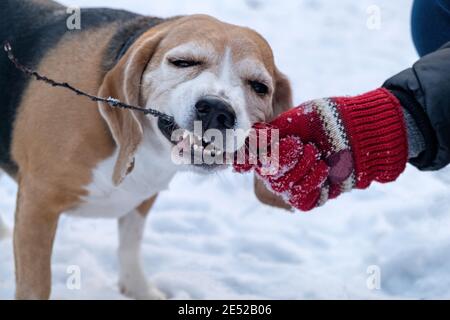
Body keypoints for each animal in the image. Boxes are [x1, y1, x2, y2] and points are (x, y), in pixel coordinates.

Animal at [0, 0, 292, 300]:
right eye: (183, 62)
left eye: (259, 87)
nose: (217, 110)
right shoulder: (38, 203)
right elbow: (36, 285)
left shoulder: (143, 196)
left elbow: (130, 243)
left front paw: (137, 288)